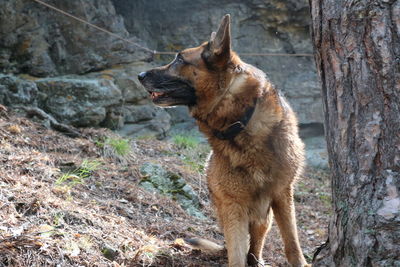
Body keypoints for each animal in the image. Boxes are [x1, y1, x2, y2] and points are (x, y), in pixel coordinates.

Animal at [138, 14, 310, 267]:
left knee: (256, 247)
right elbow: (236, 257)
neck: (240, 122)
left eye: (179, 58)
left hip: (264, 217)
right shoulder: (232, 206)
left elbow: (293, 246)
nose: (139, 75)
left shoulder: (282, 194)